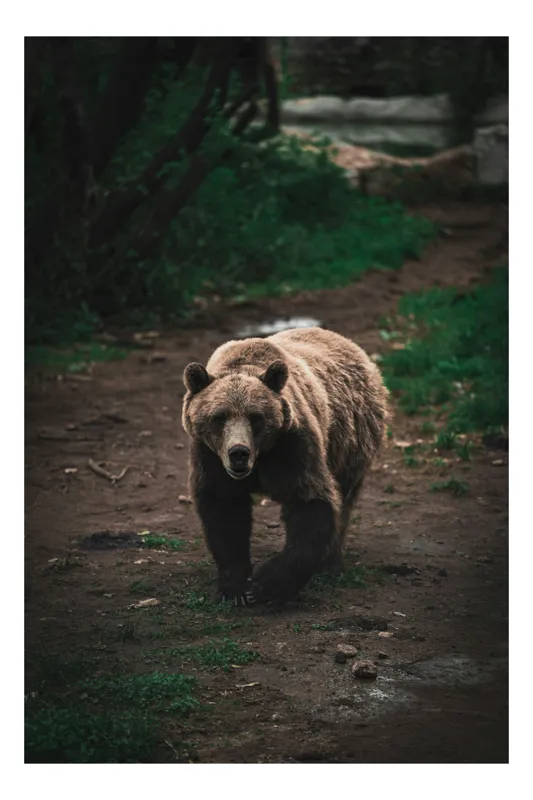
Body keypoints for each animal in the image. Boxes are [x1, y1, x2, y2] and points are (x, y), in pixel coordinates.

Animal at [181, 327, 389, 606]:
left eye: (256, 417)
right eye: (219, 417)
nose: (239, 453)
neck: (260, 459)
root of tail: (349, 343)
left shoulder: (293, 447)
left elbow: (310, 502)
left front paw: (265, 585)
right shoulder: (210, 457)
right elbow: (225, 514)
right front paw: (235, 587)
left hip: (350, 439)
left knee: (344, 499)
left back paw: (331, 563)